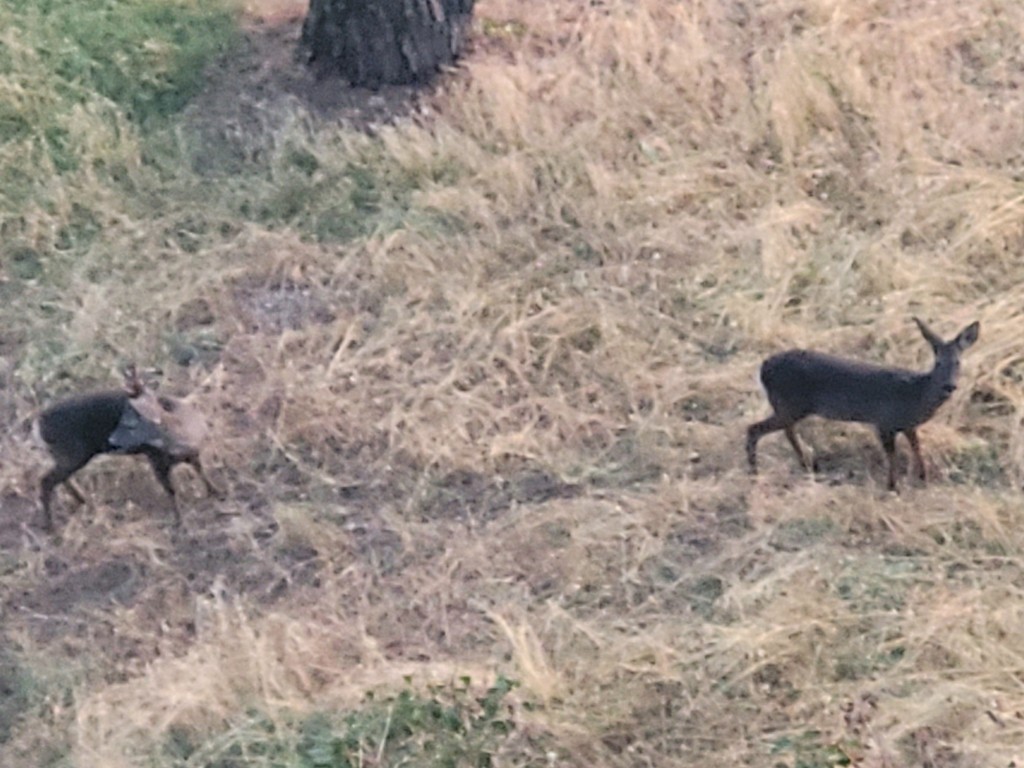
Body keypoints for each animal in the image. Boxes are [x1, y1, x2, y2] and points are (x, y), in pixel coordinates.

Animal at [34, 366, 220, 528]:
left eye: (130, 424)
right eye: (124, 418)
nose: (112, 439)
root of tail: (40, 422)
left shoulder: (193, 453)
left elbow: (201, 470)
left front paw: (216, 491)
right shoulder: (155, 459)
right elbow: (171, 490)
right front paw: (179, 521)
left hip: (65, 454)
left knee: (58, 478)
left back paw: (83, 500)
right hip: (72, 452)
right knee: (46, 480)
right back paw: (51, 526)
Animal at [749, 319, 978, 493]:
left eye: (958, 362)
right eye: (938, 363)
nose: (949, 386)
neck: (916, 394)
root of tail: (763, 368)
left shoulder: (907, 425)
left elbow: (916, 446)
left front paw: (923, 478)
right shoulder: (884, 421)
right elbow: (892, 454)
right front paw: (893, 486)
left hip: (788, 406)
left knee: (786, 431)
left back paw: (808, 465)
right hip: (791, 404)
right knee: (754, 428)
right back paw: (754, 472)